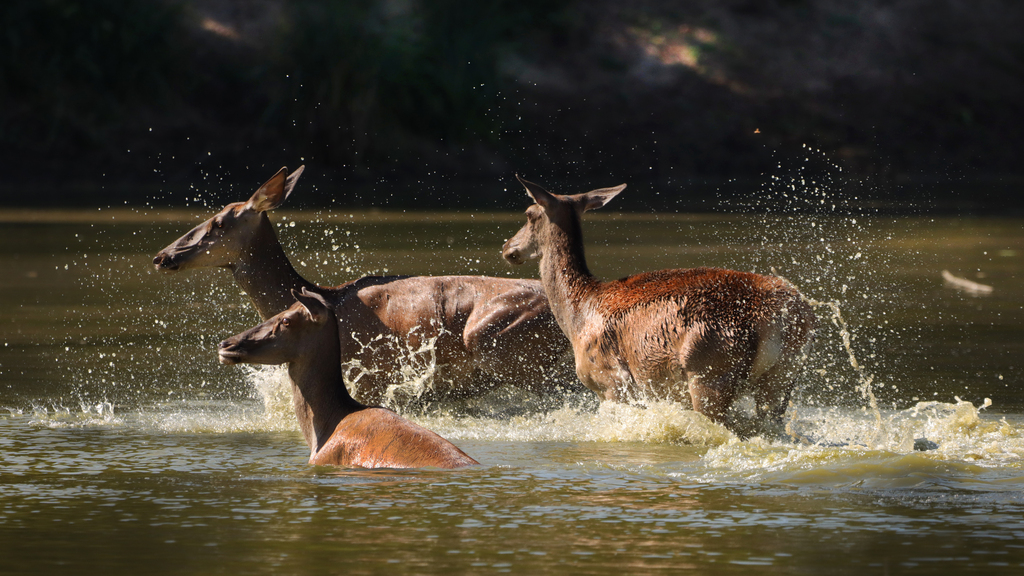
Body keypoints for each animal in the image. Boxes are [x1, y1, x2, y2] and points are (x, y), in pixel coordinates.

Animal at [497, 176, 815, 434]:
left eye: (529, 214)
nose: (507, 247)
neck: (578, 312)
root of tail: (777, 317)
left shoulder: (610, 380)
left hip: (710, 367)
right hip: (784, 374)